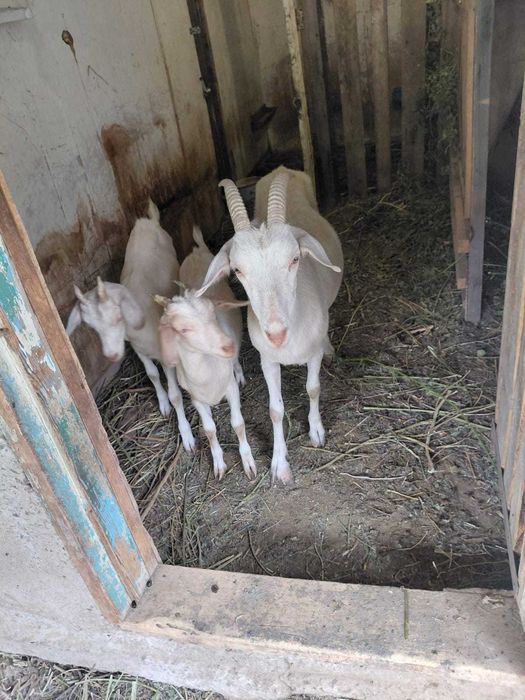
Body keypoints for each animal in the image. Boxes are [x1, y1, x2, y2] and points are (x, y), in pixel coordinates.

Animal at [66, 200, 195, 452]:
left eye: (118, 317)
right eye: (91, 327)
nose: (112, 355)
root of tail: (147, 221)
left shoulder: (166, 354)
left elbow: (176, 395)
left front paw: (186, 435)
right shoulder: (138, 349)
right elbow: (152, 374)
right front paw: (163, 404)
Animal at [157, 227, 256, 480]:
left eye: (213, 313)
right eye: (182, 329)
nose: (227, 345)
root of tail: (197, 250)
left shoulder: (230, 389)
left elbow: (238, 423)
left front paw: (248, 461)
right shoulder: (196, 399)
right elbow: (209, 429)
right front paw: (218, 463)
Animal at [195, 167, 343, 484]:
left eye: (295, 259)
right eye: (237, 270)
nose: (276, 333)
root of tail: (282, 169)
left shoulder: (311, 353)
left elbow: (313, 388)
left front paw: (316, 432)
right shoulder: (268, 359)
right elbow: (275, 410)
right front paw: (280, 465)